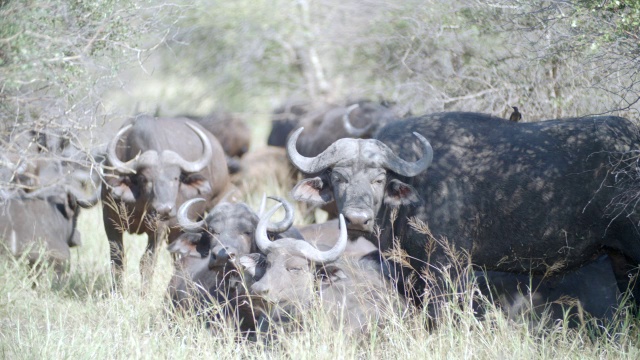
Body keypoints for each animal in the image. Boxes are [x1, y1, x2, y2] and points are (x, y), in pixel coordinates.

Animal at [288, 112, 640, 310]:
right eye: (339, 178)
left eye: (378, 179)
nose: (357, 219)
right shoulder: (409, 271)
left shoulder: (447, 266)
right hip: (621, 260)